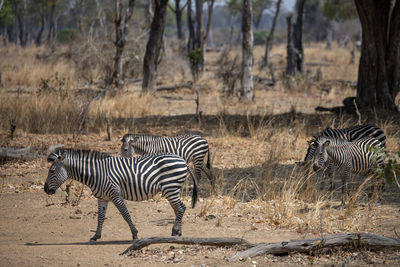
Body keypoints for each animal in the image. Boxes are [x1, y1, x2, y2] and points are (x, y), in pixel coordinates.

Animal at [44, 150, 198, 242]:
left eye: (52, 171)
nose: (45, 189)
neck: (97, 173)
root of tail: (182, 160)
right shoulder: (102, 198)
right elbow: (100, 217)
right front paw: (95, 236)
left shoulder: (115, 194)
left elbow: (125, 214)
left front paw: (135, 234)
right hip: (171, 189)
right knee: (179, 209)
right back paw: (178, 232)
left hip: (170, 188)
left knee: (181, 208)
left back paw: (175, 232)